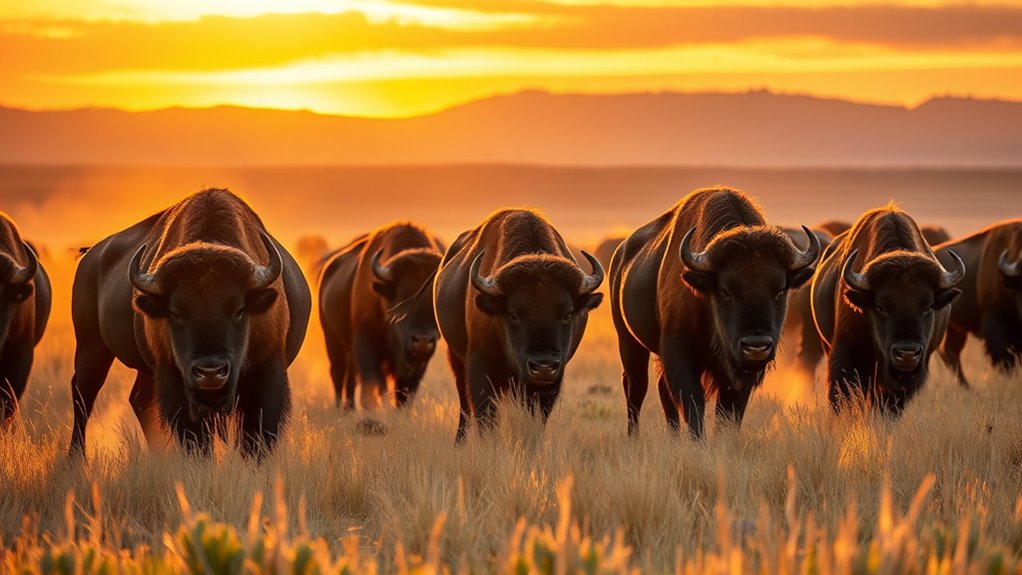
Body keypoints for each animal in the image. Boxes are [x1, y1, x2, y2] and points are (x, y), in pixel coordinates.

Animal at [68, 189, 311, 457]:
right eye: (175, 313)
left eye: (239, 310)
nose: (210, 372)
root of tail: (91, 257)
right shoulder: (174, 377)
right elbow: (195, 438)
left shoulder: (267, 369)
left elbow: (256, 436)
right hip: (91, 346)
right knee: (83, 396)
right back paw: (76, 459)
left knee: (138, 400)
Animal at [319, 222, 443, 410]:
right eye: (402, 295)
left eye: (436, 299)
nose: (422, 341)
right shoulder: (366, 344)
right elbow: (375, 382)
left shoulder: (417, 364)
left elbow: (405, 391)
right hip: (332, 341)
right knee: (338, 375)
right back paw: (341, 408)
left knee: (350, 378)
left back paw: (349, 408)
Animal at [434, 209, 604, 442]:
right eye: (513, 314)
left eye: (568, 314)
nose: (543, 366)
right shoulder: (480, 366)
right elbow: (485, 416)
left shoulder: (550, 383)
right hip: (456, 360)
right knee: (464, 406)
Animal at [610, 187, 820, 438]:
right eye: (725, 290)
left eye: (780, 290)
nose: (756, 346)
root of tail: (621, 254)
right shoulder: (680, 353)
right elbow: (693, 404)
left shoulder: (736, 376)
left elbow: (728, 412)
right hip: (629, 342)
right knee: (636, 387)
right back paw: (634, 437)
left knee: (661, 389)